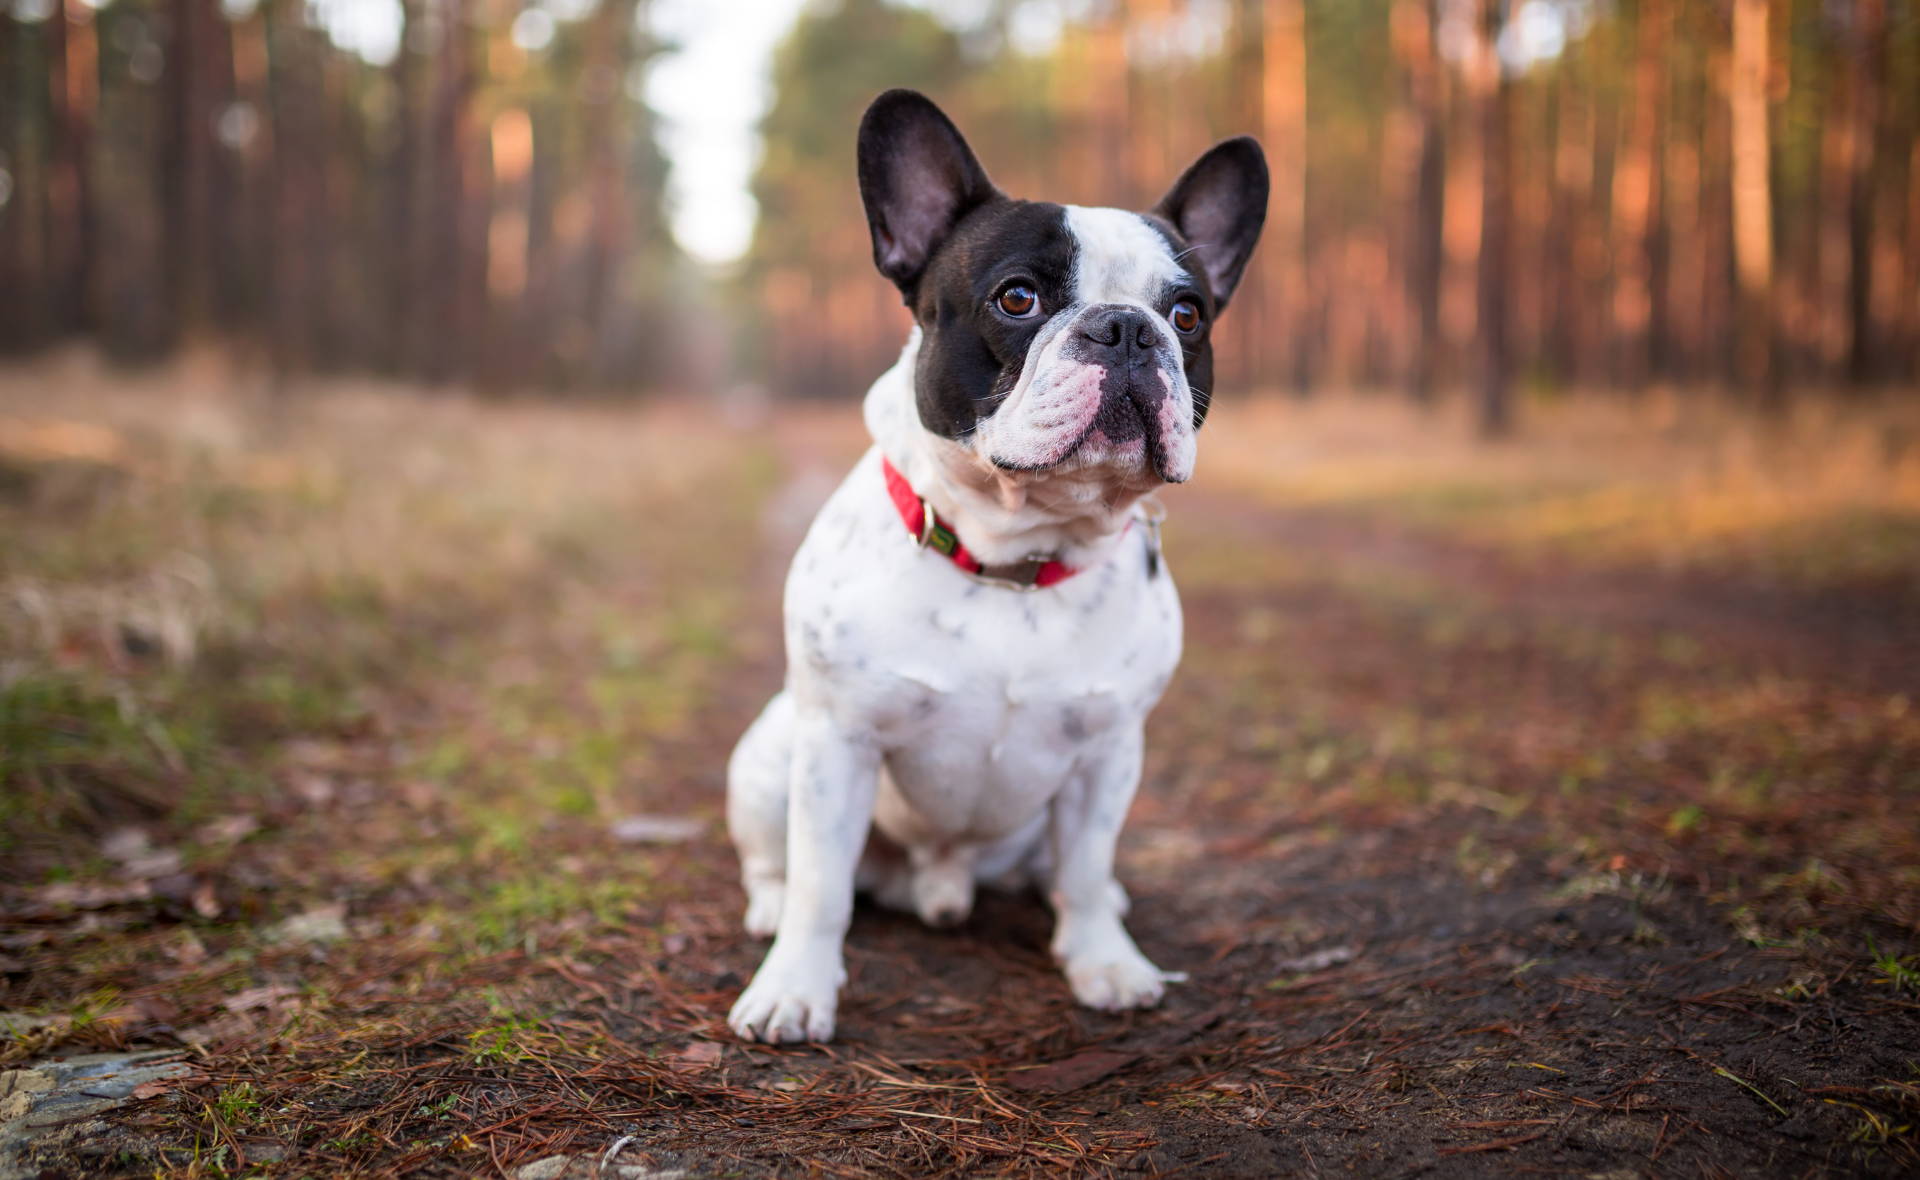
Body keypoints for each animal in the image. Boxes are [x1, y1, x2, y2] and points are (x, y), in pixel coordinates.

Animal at [721, 87, 1259, 1043]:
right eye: (1017, 298)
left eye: (1188, 315)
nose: (1126, 329)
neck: (1018, 556)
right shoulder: (838, 744)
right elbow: (822, 884)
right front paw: (794, 988)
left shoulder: (1109, 754)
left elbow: (1084, 866)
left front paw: (1104, 963)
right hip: (768, 755)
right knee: (778, 863)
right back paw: (769, 910)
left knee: (1067, 871)